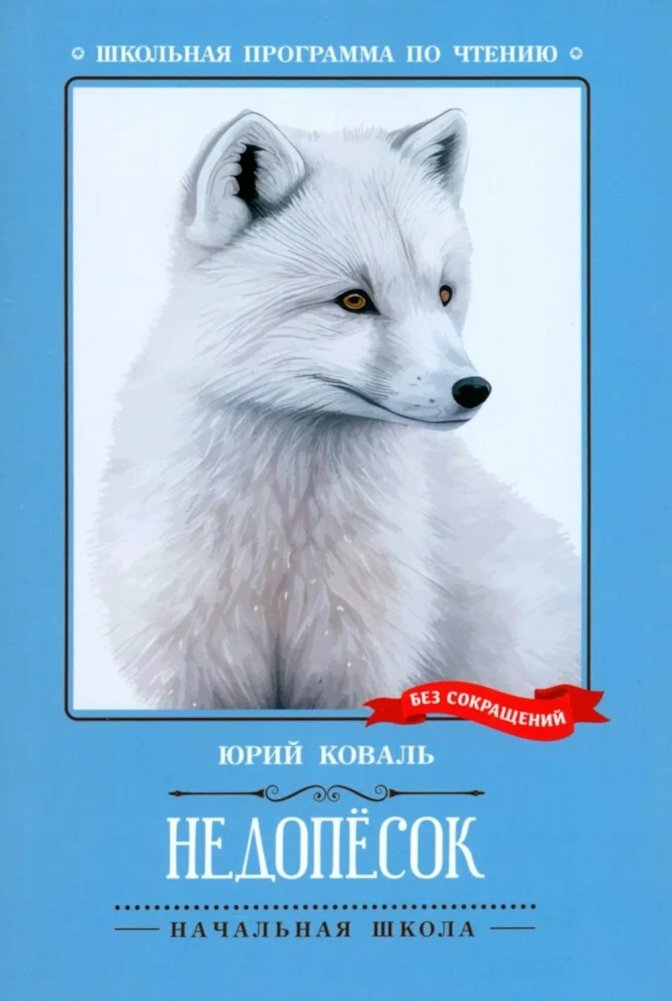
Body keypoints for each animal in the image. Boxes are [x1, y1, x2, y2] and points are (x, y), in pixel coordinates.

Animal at [96, 107, 580, 710]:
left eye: (444, 293)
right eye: (354, 300)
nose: (473, 389)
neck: (282, 559)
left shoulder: (355, 666)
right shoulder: (195, 668)